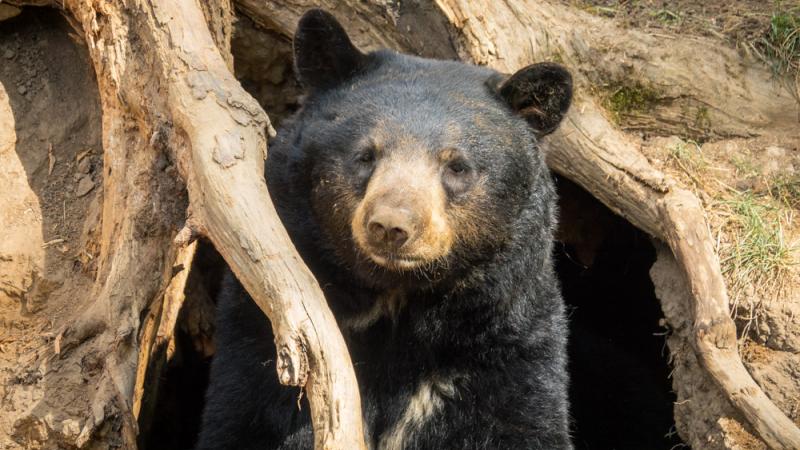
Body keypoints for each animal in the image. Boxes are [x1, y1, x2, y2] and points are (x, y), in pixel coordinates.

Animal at [198, 8, 576, 448]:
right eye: (365, 155)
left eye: (457, 166)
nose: (391, 226)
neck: (398, 307)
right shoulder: (254, 348)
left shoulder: (507, 352)